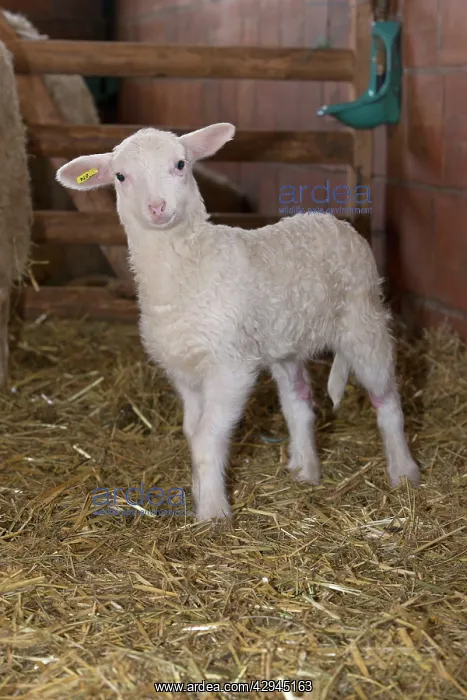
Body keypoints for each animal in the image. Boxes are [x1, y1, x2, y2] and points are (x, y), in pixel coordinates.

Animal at [56, 122, 420, 521]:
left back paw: (404, 473)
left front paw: (213, 513)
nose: (157, 208)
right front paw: (201, 492)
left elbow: (206, 437)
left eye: (180, 164)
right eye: (121, 176)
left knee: (386, 397)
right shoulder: (184, 370)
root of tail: (333, 220)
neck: (189, 270)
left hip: (363, 320)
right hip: (285, 341)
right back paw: (306, 471)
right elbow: (191, 432)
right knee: (298, 402)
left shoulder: (230, 366)